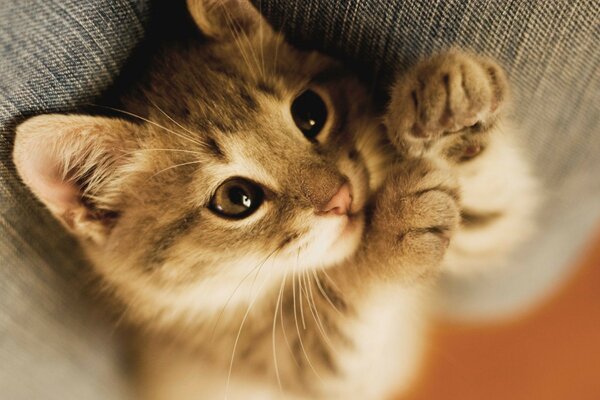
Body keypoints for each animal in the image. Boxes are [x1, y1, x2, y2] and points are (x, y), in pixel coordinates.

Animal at [12, 0, 540, 400]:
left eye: (310, 112)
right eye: (236, 198)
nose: (343, 196)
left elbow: (491, 210)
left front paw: (448, 106)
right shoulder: (308, 364)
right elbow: (347, 304)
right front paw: (393, 234)